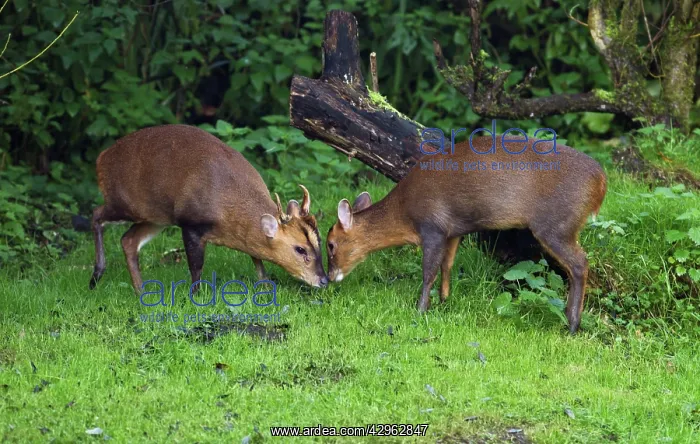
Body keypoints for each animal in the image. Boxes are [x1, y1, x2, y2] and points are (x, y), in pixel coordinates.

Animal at [88, 124, 328, 294]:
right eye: (300, 249)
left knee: (128, 240)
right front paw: (195, 296)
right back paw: (96, 276)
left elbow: (256, 257)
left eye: (319, 242)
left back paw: (140, 291)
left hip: (157, 217)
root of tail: (101, 158)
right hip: (125, 203)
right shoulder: (191, 224)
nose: (324, 280)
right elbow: (196, 268)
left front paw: (266, 285)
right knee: (96, 214)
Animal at [325, 136, 607, 334]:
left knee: (580, 264)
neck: (404, 212)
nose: (328, 277)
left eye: (330, 244)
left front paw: (420, 309)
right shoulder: (453, 232)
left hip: (556, 225)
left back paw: (572, 324)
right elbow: (447, 265)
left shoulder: (433, 227)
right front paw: (444, 301)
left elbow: (428, 271)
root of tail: (601, 181)